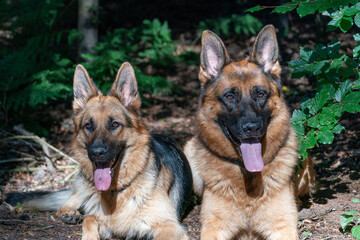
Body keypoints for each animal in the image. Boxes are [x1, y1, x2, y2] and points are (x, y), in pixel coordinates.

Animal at [5, 62, 191, 240]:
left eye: (115, 124)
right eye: (89, 125)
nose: (97, 152)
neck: (117, 192)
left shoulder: (170, 227)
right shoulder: (99, 219)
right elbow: (89, 219)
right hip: (83, 190)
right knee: (70, 202)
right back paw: (69, 212)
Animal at [184, 25, 300, 239]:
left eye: (260, 94)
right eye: (229, 96)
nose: (252, 127)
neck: (248, 178)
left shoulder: (283, 226)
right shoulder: (214, 227)